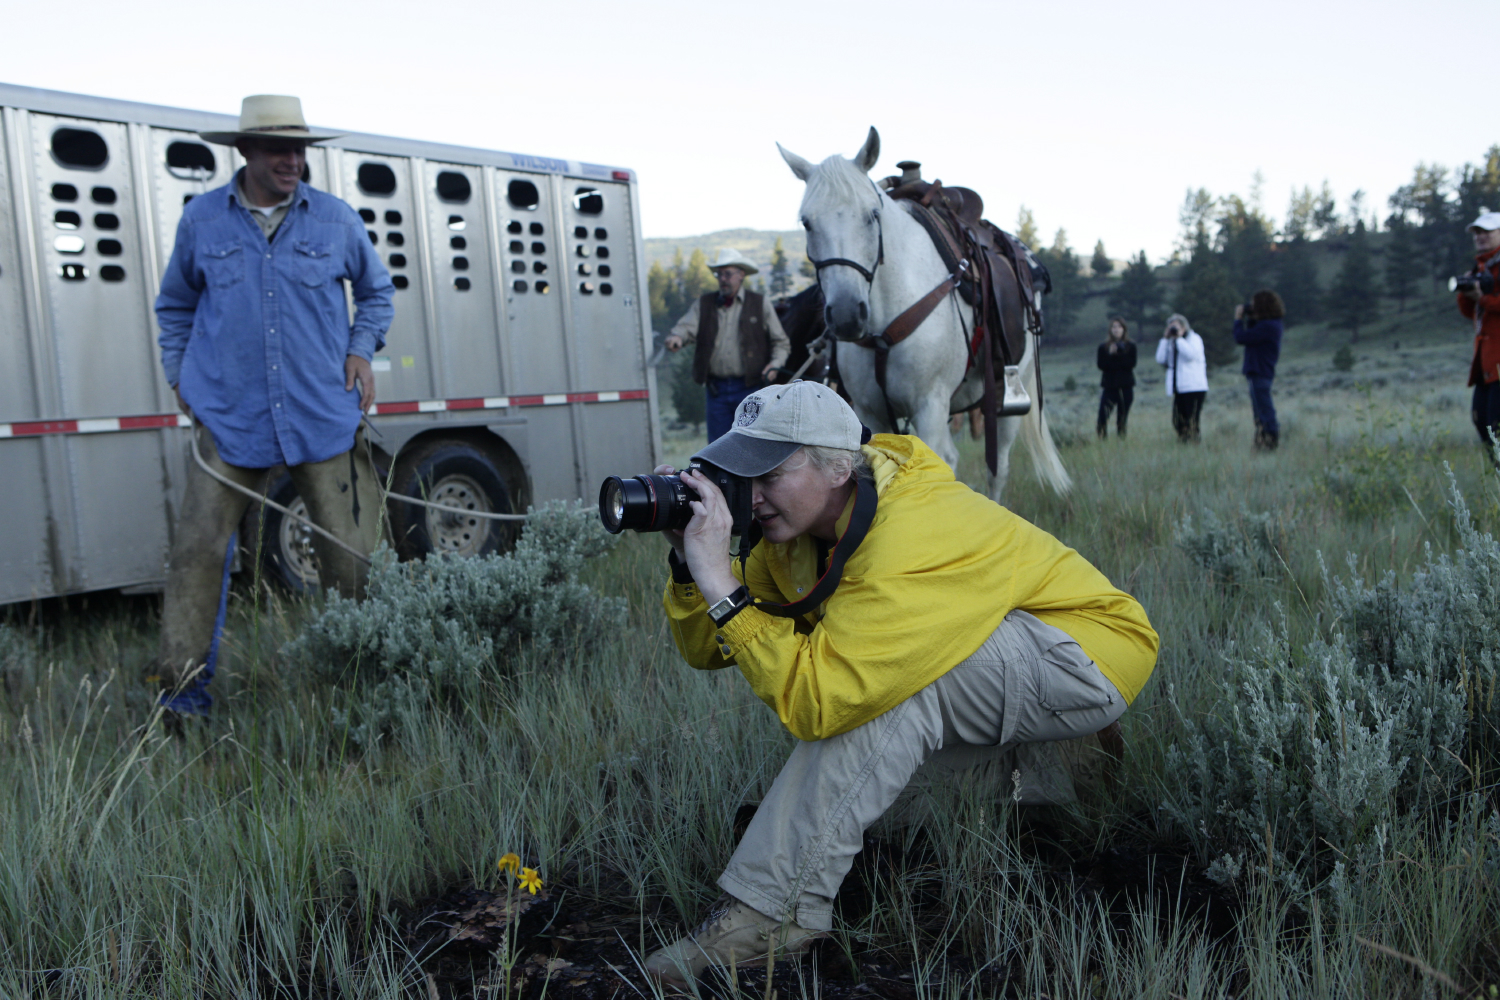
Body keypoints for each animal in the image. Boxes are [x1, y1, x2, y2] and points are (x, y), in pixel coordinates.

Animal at [786, 127, 1068, 500]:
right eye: (807, 222)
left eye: (872, 215)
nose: (847, 314)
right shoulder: (869, 410)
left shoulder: (930, 406)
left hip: (1008, 398)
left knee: (998, 468)